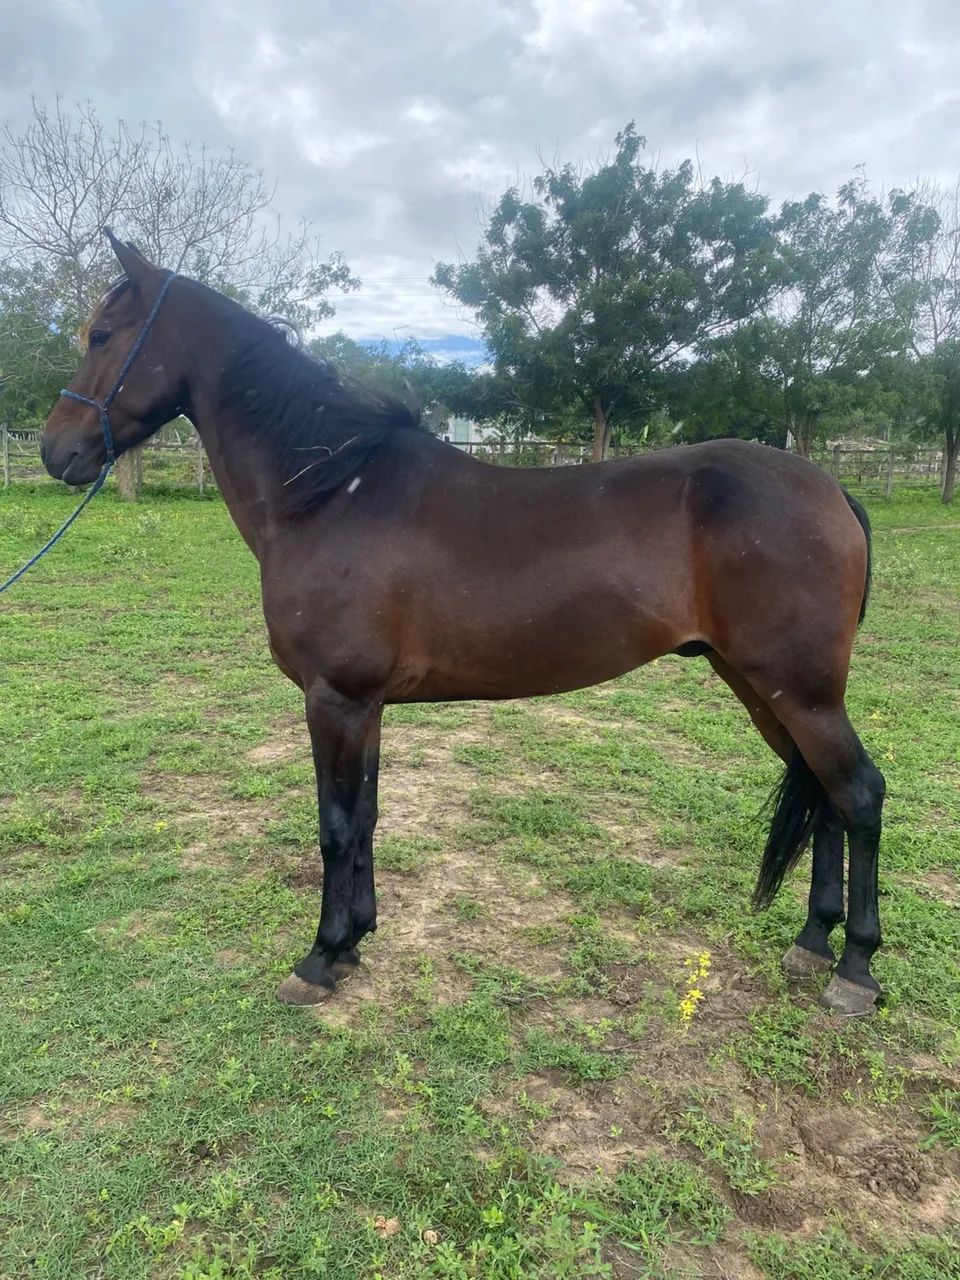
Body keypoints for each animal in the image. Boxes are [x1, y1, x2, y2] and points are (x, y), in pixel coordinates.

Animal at [41, 233, 885, 1016]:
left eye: (102, 335)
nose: (57, 450)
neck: (331, 492)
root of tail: (831, 488)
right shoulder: (366, 706)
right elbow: (367, 817)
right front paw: (356, 941)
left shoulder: (334, 699)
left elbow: (335, 826)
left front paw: (318, 958)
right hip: (760, 686)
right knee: (823, 791)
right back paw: (812, 944)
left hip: (799, 692)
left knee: (859, 793)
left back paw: (854, 970)